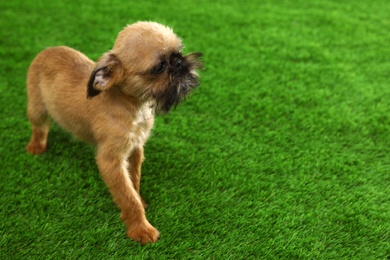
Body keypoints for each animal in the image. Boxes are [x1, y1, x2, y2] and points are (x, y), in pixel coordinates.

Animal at [26, 21, 204, 244]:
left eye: (179, 52)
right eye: (159, 67)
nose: (180, 62)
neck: (132, 105)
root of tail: (48, 50)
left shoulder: (135, 149)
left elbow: (133, 181)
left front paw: (139, 201)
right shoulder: (111, 161)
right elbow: (128, 196)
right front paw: (140, 228)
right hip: (36, 108)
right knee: (40, 127)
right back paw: (36, 146)